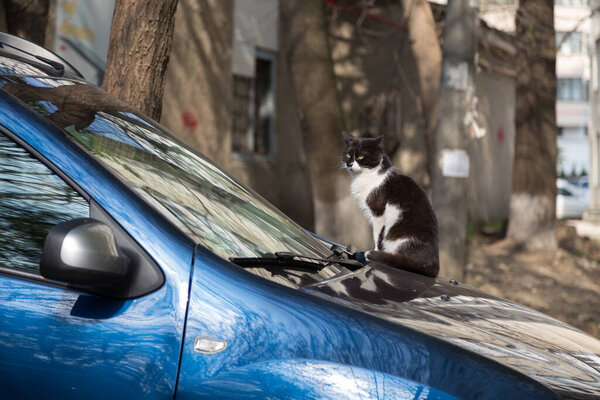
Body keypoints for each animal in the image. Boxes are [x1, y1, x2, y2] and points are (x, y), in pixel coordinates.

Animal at [344, 132, 438, 278]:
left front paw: (374, 253)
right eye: (348, 155)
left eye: (360, 157)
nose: (349, 163)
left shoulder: (378, 214)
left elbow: (377, 236)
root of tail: (432, 266)